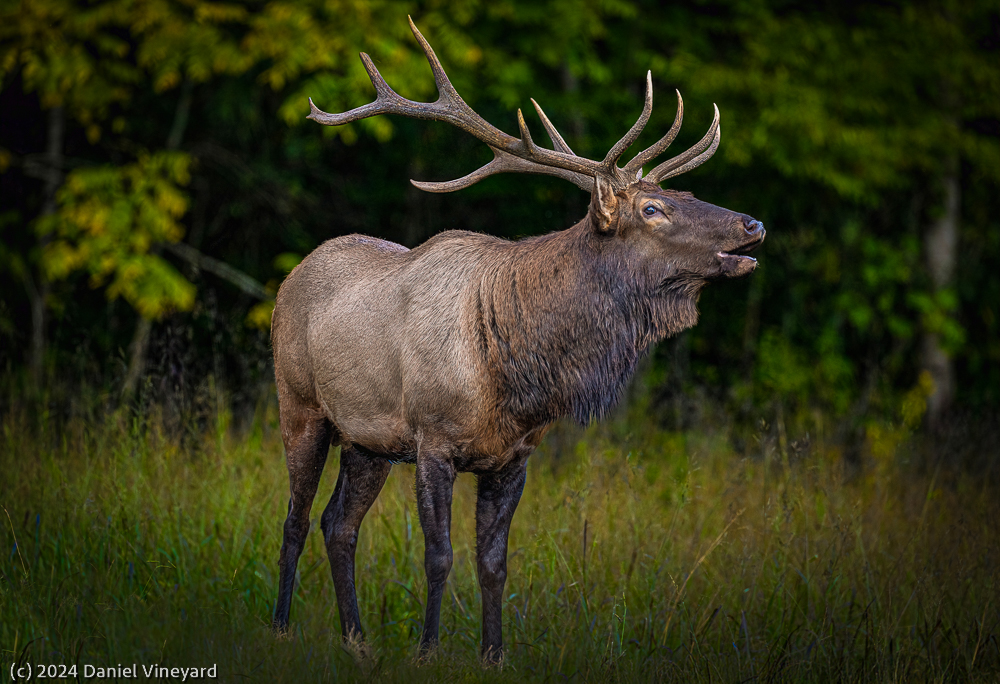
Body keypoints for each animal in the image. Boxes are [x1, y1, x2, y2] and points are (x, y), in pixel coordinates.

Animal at [270, 17, 765, 663]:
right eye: (653, 208)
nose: (753, 223)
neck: (514, 374)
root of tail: (291, 277)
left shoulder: (515, 455)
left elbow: (494, 564)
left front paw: (493, 654)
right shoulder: (432, 440)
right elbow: (438, 557)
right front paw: (428, 651)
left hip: (367, 440)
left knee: (339, 525)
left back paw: (357, 639)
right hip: (299, 405)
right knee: (297, 519)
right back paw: (281, 626)